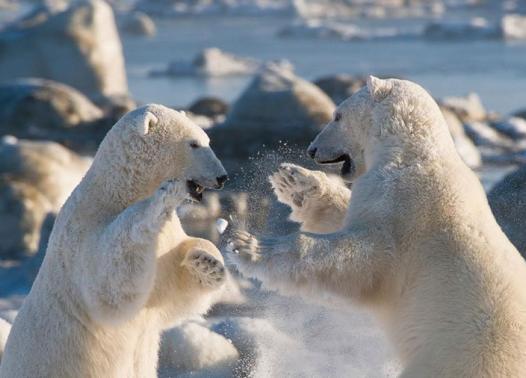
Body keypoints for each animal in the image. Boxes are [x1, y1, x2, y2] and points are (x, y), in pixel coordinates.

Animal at [1, 104, 230, 378]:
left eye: (207, 140)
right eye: (193, 144)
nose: (222, 177)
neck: (116, 191)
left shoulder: (166, 242)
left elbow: (174, 290)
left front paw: (208, 263)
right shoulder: (81, 232)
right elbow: (108, 285)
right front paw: (163, 198)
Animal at [233, 77, 526, 378]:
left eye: (337, 115)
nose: (311, 150)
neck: (411, 152)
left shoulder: (407, 208)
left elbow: (364, 258)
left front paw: (250, 246)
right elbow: (349, 213)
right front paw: (296, 181)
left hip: (460, 358)